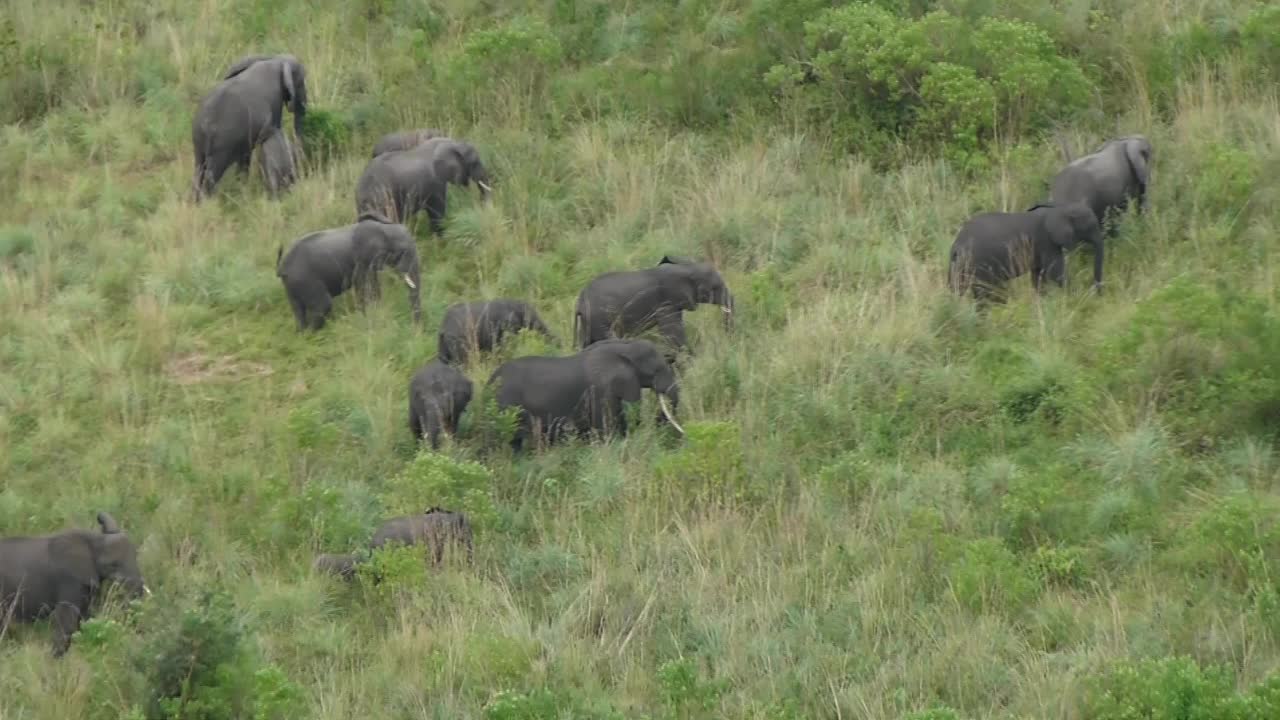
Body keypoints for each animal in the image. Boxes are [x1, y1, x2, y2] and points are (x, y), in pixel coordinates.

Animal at [0, 509, 151, 655]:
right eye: (112, 564)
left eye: (135, 556)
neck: (94, 540)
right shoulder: (70, 580)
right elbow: (66, 618)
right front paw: (54, 658)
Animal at [947, 199, 1105, 301]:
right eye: (1091, 226)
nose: (1098, 295)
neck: (1060, 208)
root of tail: (957, 245)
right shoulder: (1046, 241)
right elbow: (1056, 274)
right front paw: (1077, 297)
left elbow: (1038, 276)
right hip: (980, 263)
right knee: (986, 291)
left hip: (959, 265)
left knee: (959, 288)